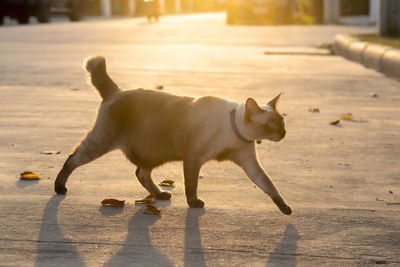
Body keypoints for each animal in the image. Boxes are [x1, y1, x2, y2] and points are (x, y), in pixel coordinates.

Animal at [54, 56, 290, 216]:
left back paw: (160, 195)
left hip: (154, 152)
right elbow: (191, 186)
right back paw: (59, 188)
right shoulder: (193, 159)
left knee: (141, 173)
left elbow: (269, 186)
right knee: (72, 159)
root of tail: (116, 92)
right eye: (271, 124)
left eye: (282, 122)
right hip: (101, 143)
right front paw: (194, 203)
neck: (235, 132)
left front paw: (285, 208)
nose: (283, 133)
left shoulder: (249, 163)